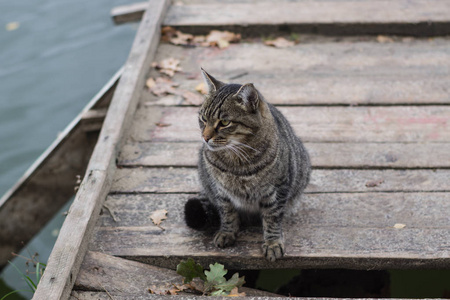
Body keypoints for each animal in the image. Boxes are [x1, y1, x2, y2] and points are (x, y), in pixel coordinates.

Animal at [185, 69, 312, 262]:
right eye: (203, 118)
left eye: (224, 122)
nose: (205, 137)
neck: (236, 161)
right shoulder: (220, 191)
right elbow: (227, 213)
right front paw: (227, 233)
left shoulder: (278, 189)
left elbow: (272, 218)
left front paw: (273, 243)